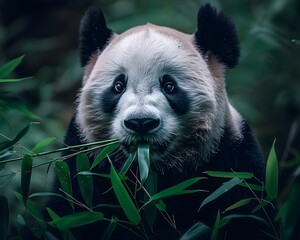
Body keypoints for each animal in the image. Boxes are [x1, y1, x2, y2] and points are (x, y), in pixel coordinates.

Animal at [45, 3, 278, 240]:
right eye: (118, 86)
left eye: (169, 86)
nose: (141, 122)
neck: (154, 172)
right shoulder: (83, 163)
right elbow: (71, 213)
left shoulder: (235, 162)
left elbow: (248, 216)